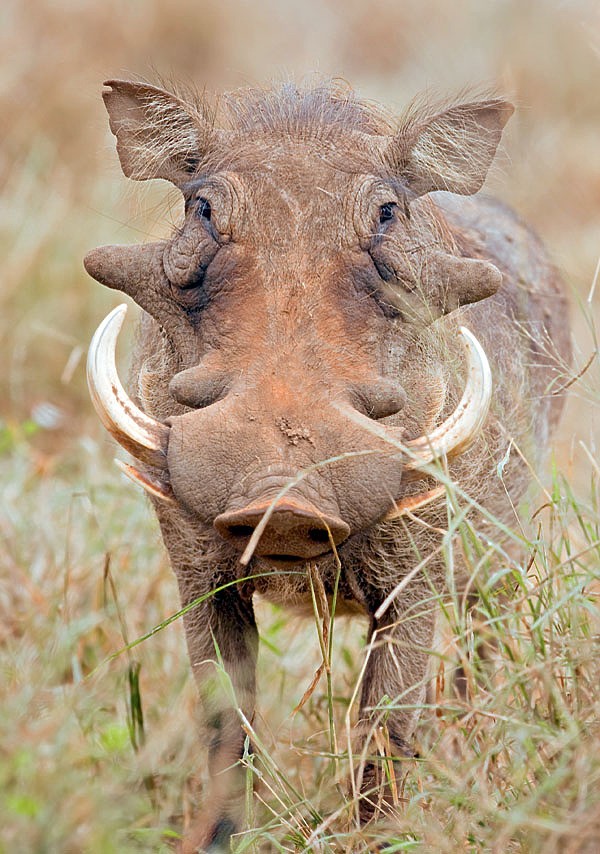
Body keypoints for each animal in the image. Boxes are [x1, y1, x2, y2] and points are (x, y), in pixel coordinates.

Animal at [84, 79, 570, 851]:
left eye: (388, 212)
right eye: (202, 209)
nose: (283, 504)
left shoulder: (415, 584)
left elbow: (385, 730)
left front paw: (376, 838)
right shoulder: (200, 579)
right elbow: (227, 726)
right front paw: (219, 838)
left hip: (499, 566)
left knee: (483, 661)